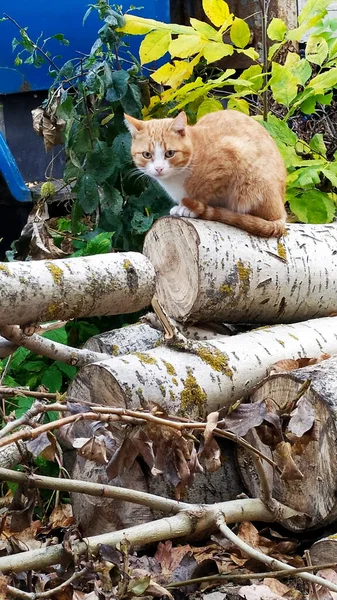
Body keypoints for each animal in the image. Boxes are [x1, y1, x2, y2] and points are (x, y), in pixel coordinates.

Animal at [124, 110, 286, 237]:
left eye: (170, 153)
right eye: (146, 155)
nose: (158, 168)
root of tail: (282, 211)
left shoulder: (230, 159)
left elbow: (206, 194)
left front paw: (189, 208)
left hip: (252, 184)